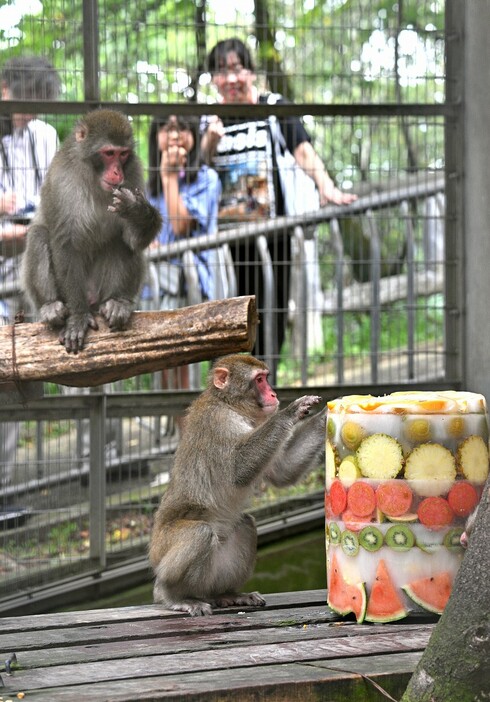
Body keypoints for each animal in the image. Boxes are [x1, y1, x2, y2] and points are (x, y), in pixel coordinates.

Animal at [21, 108, 163, 354]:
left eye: (123, 154)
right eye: (109, 153)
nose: (117, 172)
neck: (93, 177)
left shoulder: (134, 173)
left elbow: (133, 240)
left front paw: (136, 211)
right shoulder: (61, 178)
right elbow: (64, 243)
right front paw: (78, 317)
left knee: (120, 242)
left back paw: (118, 302)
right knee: (39, 234)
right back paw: (50, 306)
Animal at [149, 354, 326, 620]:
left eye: (266, 378)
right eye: (260, 380)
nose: (273, 394)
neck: (230, 404)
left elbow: (283, 471)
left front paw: (333, 412)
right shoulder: (219, 422)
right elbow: (238, 470)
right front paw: (291, 412)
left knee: (245, 525)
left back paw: (226, 594)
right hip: (163, 552)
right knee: (199, 533)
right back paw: (174, 596)